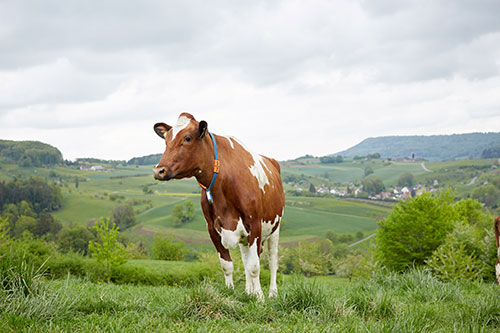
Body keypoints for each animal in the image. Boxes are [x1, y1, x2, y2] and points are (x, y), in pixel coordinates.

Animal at [152, 113, 286, 296]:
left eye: (187, 138)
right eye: (166, 140)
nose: (159, 171)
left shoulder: (254, 224)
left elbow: (254, 266)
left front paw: (259, 297)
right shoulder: (212, 228)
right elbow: (227, 265)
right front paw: (230, 293)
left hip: (274, 228)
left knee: (272, 262)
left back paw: (272, 293)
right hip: (245, 238)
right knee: (245, 260)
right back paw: (248, 291)